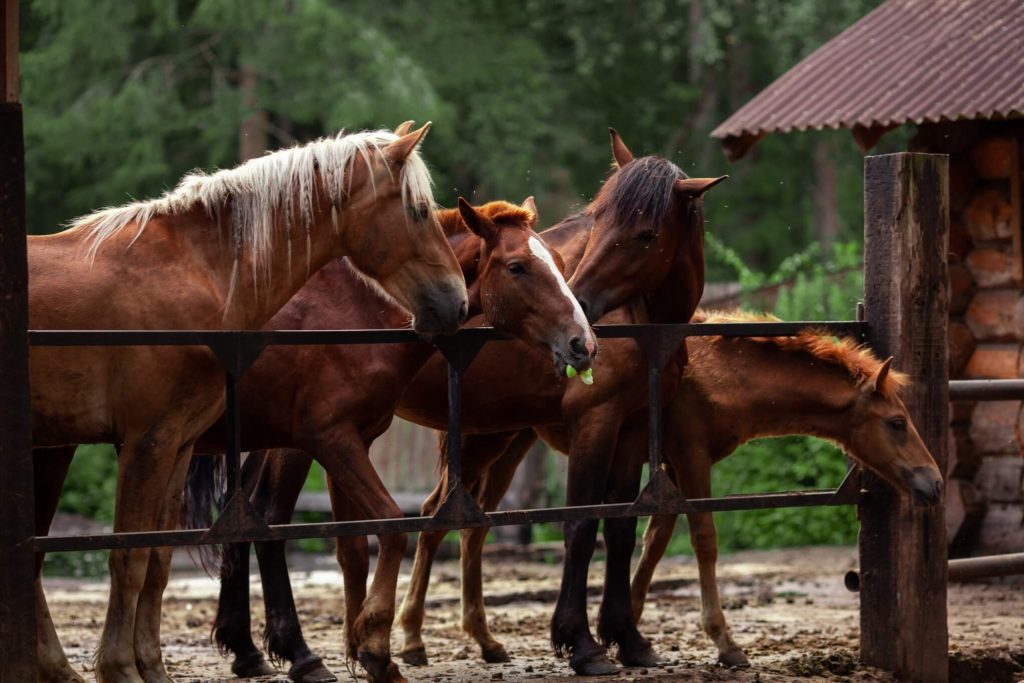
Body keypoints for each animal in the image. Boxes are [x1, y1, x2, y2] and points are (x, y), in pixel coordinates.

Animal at [29, 122, 469, 683]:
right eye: (417, 211)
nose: (456, 302)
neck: (194, 273)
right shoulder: (146, 442)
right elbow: (127, 557)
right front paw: (119, 668)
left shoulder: (178, 443)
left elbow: (157, 560)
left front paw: (151, 666)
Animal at [200, 130, 727, 678]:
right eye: (599, 218)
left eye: (645, 234)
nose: (583, 314)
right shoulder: (595, 421)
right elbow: (582, 526)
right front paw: (581, 642)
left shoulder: (632, 428)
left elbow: (621, 528)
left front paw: (628, 637)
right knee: (270, 514)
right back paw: (299, 650)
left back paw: (249, 646)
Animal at [398, 309, 945, 670]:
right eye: (897, 422)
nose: (934, 483)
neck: (721, 369)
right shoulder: (689, 457)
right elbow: (702, 538)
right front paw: (724, 643)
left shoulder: (666, 469)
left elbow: (653, 539)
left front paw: (626, 625)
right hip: (481, 446)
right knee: (435, 517)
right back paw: (412, 638)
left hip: (509, 444)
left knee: (474, 527)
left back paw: (485, 640)